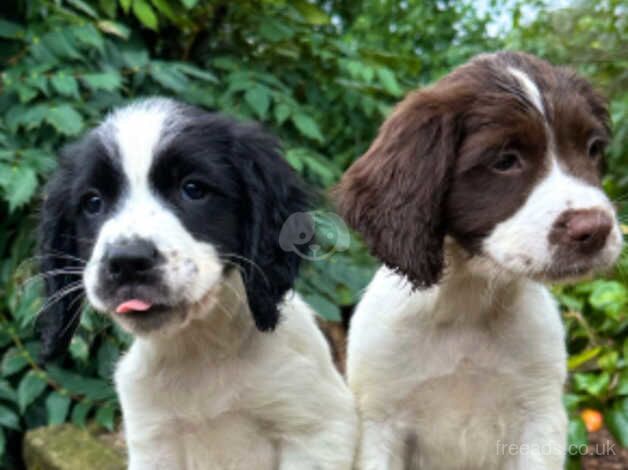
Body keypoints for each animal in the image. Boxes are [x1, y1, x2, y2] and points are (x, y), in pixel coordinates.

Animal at [36, 97, 356, 468]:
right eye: (92, 202)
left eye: (193, 189)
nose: (127, 261)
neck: (200, 352)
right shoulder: (153, 441)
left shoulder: (315, 429)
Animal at [336, 52, 620, 470]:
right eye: (505, 161)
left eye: (593, 148)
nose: (596, 229)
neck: (468, 306)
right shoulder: (379, 419)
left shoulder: (540, 417)